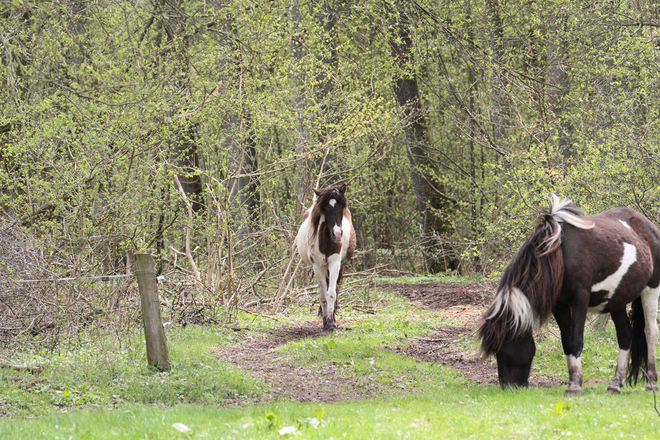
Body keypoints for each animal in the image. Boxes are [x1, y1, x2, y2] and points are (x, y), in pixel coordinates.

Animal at [296, 184, 354, 332]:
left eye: (341, 206)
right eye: (325, 209)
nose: (337, 234)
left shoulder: (335, 263)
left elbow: (332, 293)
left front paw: (331, 322)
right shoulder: (318, 266)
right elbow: (323, 295)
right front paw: (325, 321)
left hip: (340, 266)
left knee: (335, 289)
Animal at [480, 197, 660, 396]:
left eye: (504, 350)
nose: (509, 387)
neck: (558, 253)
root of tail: (648, 226)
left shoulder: (580, 298)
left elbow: (575, 339)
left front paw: (574, 386)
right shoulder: (559, 305)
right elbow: (566, 341)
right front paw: (574, 380)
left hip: (651, 288)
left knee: (650, 332)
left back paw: (652, 383)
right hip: (616, 299)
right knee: (625, 336)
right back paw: (615, 384)